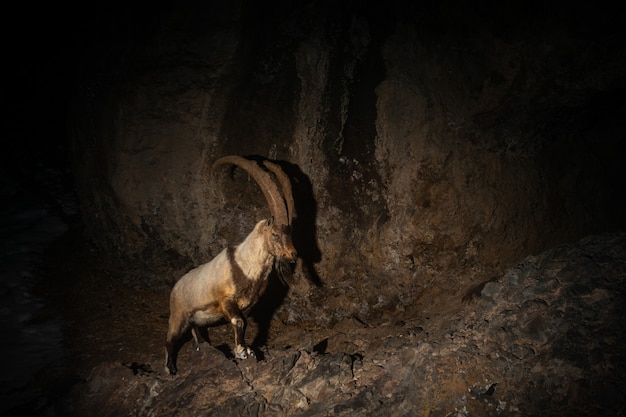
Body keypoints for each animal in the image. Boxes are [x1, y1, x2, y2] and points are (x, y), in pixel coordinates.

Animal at [163, 155, 294, 374]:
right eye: (275, 233)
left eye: (291, 232)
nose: (293, 255)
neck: (244, 266)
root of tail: (175, 287)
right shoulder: (225, 301)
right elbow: (239, 321)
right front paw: (242, 351)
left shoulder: (247, 305)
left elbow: (246, 323)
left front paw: (246, 349)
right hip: (178, 315)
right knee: (170, 340)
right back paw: (170, 368)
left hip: (196, 320)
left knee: (196, 332)